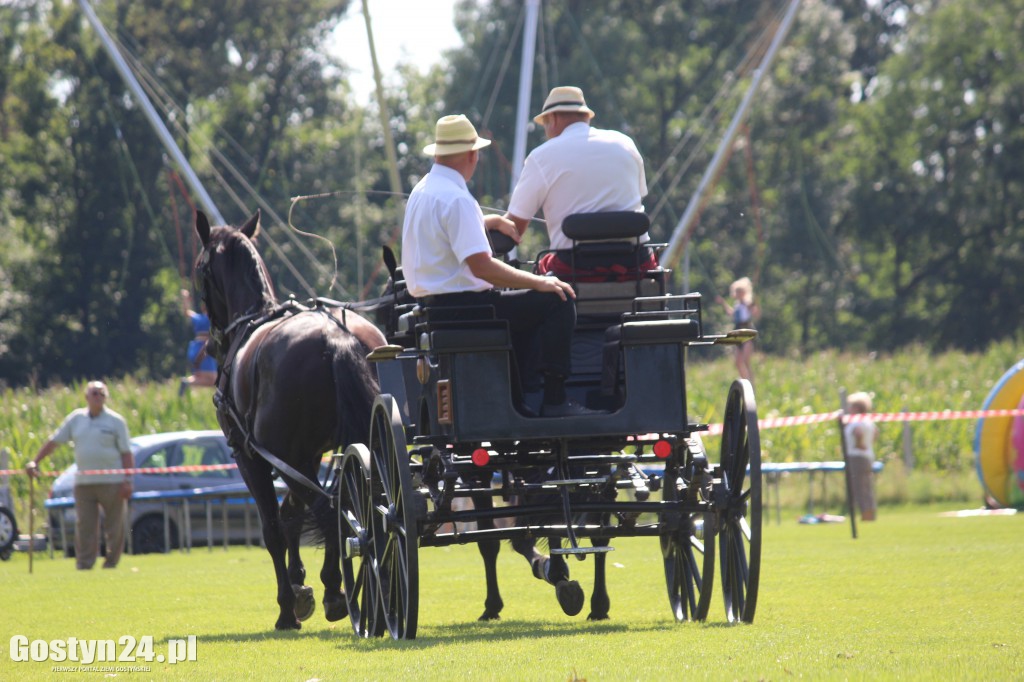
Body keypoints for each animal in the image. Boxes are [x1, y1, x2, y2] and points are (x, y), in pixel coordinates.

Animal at [193, 209, 385, 630]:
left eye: (199, 269)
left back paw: (333, 591)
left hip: (283, 455)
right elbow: (292, 515)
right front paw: (301, 584)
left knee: (329, 510)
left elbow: (273, 528)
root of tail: (335, 337)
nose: (211, 342)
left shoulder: (252, 456)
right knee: (346, 503)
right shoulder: (308, 455)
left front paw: (288, 604)